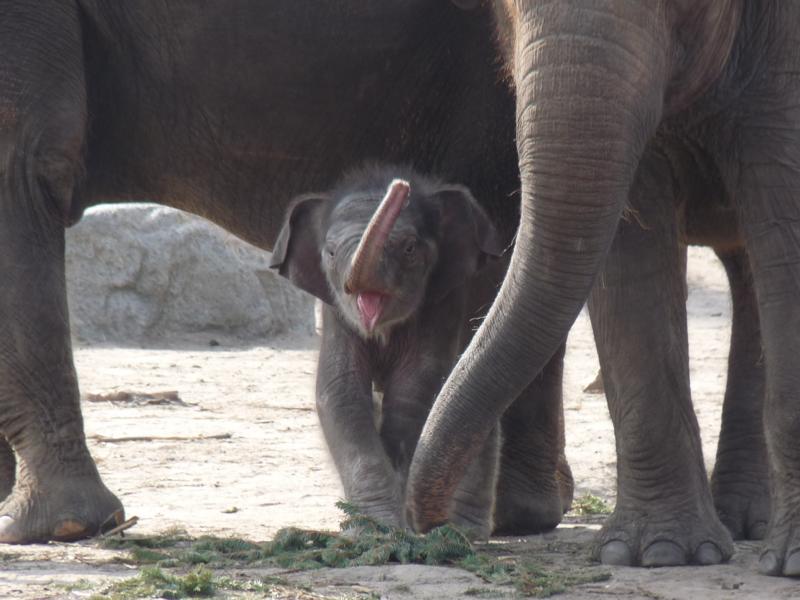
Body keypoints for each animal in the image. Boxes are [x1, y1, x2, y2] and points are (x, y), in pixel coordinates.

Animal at [0, 0, 575, 544]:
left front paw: (56, 526)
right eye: (329, 253)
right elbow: (339, 392)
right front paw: (376, 522)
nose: (401, 189)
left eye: (412, 248)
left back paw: (494, 520)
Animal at [408, 0, 800, 578]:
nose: (436, 527)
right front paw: (657, 555)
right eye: (508, 8)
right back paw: (742, 522)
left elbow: (786, 229)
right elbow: (632, 250)